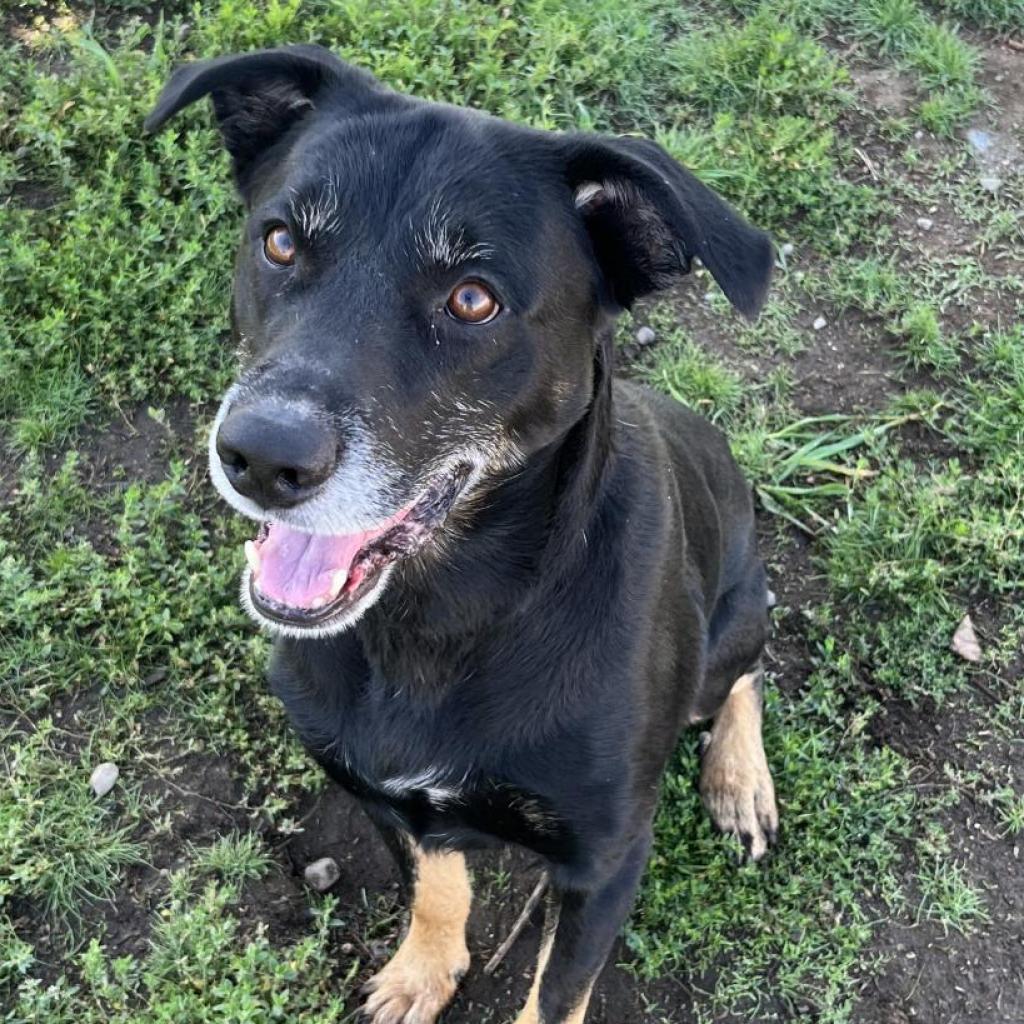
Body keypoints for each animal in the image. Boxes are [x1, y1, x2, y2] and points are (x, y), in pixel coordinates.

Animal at [148, 46, 774, 1024]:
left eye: (473, 299)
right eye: (280, 242)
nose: (260, 456)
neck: (441, 620)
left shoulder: (604, 862)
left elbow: (556, 996)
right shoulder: (385, 794)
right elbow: (438, 881)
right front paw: (423, 969)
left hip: (737, 613)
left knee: (747, 673)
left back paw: (739, 780)